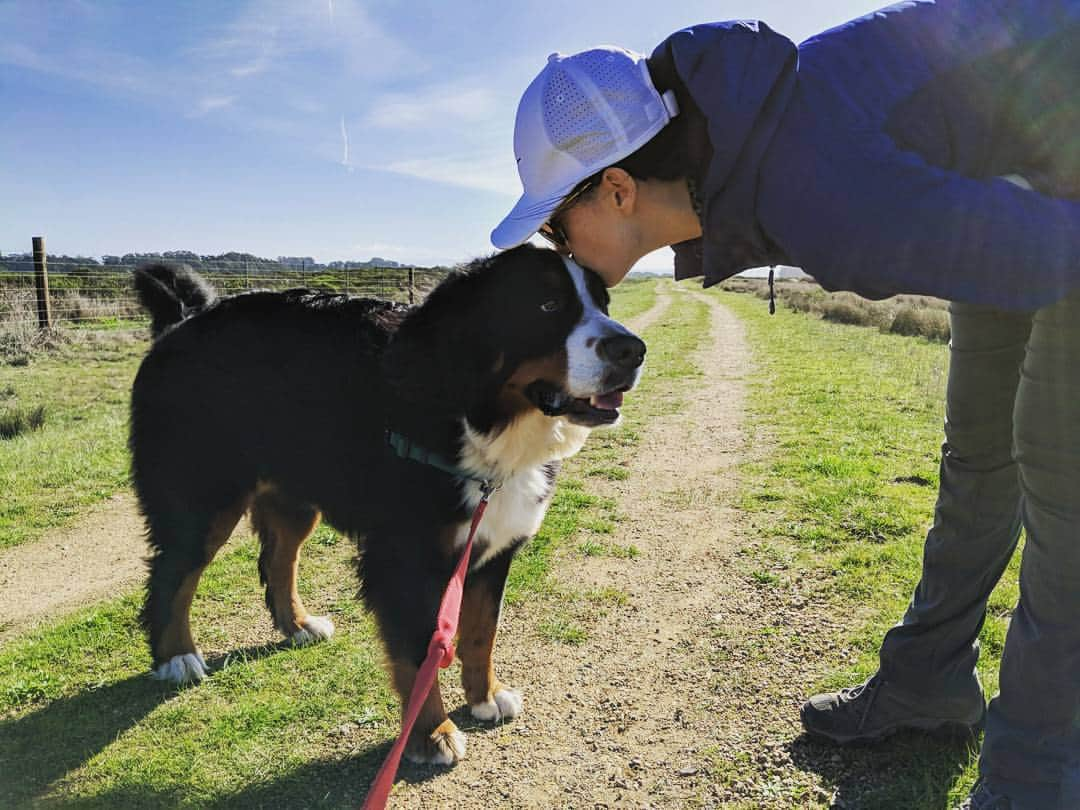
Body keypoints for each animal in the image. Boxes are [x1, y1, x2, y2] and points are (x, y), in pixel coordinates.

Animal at [130, 247, 643, 768]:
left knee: (278, 559)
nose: (633, 351)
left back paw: (298, 625)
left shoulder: (495, 545)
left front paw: (484, 696)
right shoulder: (403, 560)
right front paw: (431, 733)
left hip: (294, 497)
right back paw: (176, 657)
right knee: (173, 575)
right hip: (203, 500)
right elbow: (418, 655)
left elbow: (482, 631)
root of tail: (183, 322)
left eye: (603, 302)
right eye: (547, 306)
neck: (476, 422)